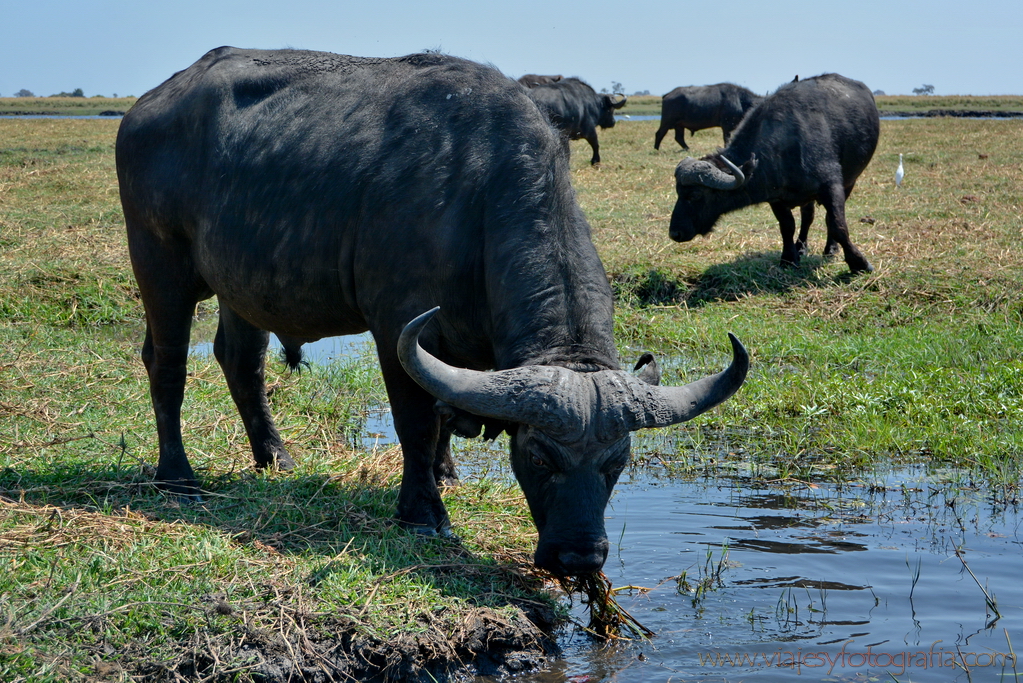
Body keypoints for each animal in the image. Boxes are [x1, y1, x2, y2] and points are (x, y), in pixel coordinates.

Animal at [666, 72, 875, 274]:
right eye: (678, 192)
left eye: (694, 195)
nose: (675, 233)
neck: (783, 147)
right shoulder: (776, 198)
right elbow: (787, 226)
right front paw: (789, 259)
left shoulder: (831, 187)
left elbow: (837, 224)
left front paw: (859, 263)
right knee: (807, 216)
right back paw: (801, 247)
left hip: (850, 181)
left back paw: (830, 248)